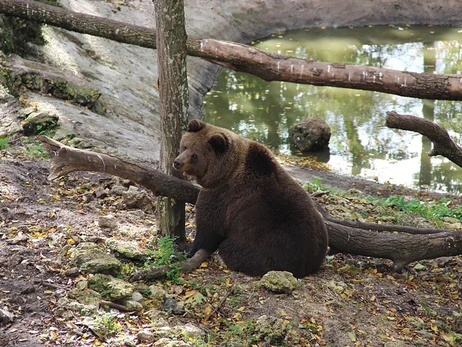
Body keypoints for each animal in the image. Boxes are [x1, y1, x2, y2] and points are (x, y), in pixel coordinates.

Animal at [173, 119, 328, 278]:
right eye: (184, 146)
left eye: (195, 156)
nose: (177, 162)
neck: (225, 172)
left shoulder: (221, 195)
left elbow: (208, 228)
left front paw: (185, 246)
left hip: (269, 246)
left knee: (234, 251)